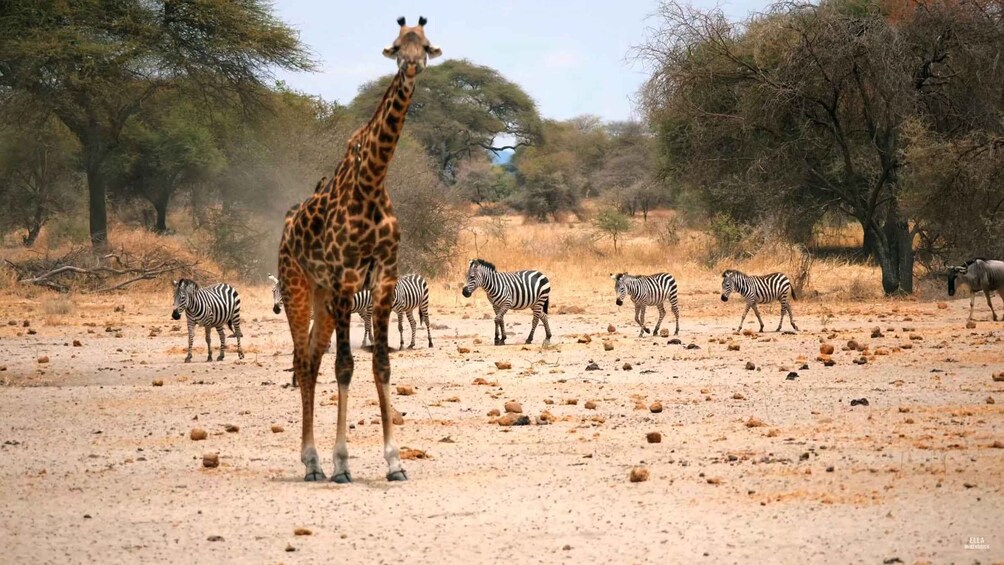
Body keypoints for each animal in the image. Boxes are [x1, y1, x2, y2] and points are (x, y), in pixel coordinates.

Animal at [277, 17, 441, 483]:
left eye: (425, 44)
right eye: (396, 45)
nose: (411, 64)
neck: (371, 183)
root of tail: (287, 227)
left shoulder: (383, 278)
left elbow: (381, 363)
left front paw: (395, 462)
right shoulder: (345, 281)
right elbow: (345, 366)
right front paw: (342, 463)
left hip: (322, 295)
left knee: (312, 358)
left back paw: (313, 462)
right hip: (297, 286)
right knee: (303, 359)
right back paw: (312, 462)